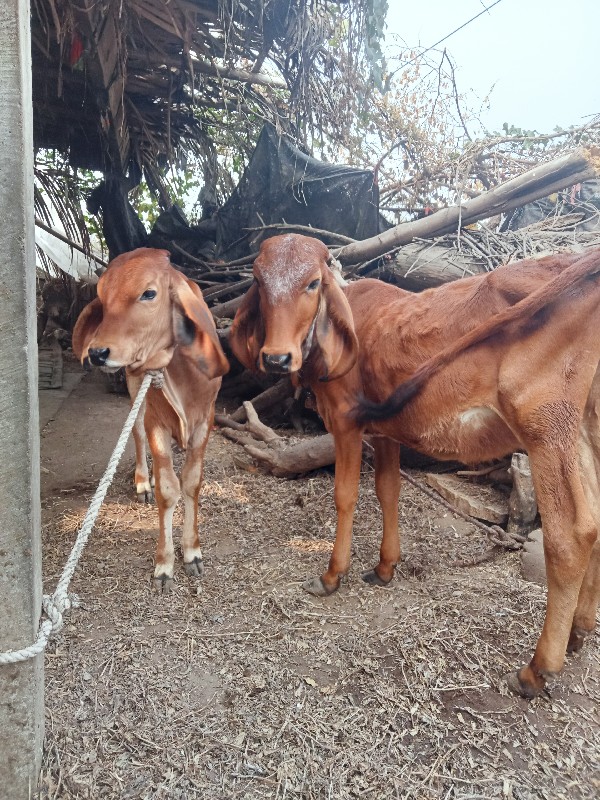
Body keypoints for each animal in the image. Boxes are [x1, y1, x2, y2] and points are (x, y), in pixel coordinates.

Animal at [71, 247, 230, 592]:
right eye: (102, 297)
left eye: (149, 293)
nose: (98, 353)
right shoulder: (156, 420)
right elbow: (168, 491)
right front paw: (165, 564)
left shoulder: (205, 420)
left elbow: (192, 483)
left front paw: (192, 552)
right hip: (135, 389)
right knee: (137, 433)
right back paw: (145, 479)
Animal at [230, 234, 600, 696]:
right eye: (259, 281)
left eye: (313, 282)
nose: (277, 358)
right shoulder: (386, 432)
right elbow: (388, 490)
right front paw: (385, 567)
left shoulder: (346, 422)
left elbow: (345, 496)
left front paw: (333, 575)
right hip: (586, 427)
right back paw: (579, 630)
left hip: (546, 424)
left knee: (571, 536)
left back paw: (537, 668)